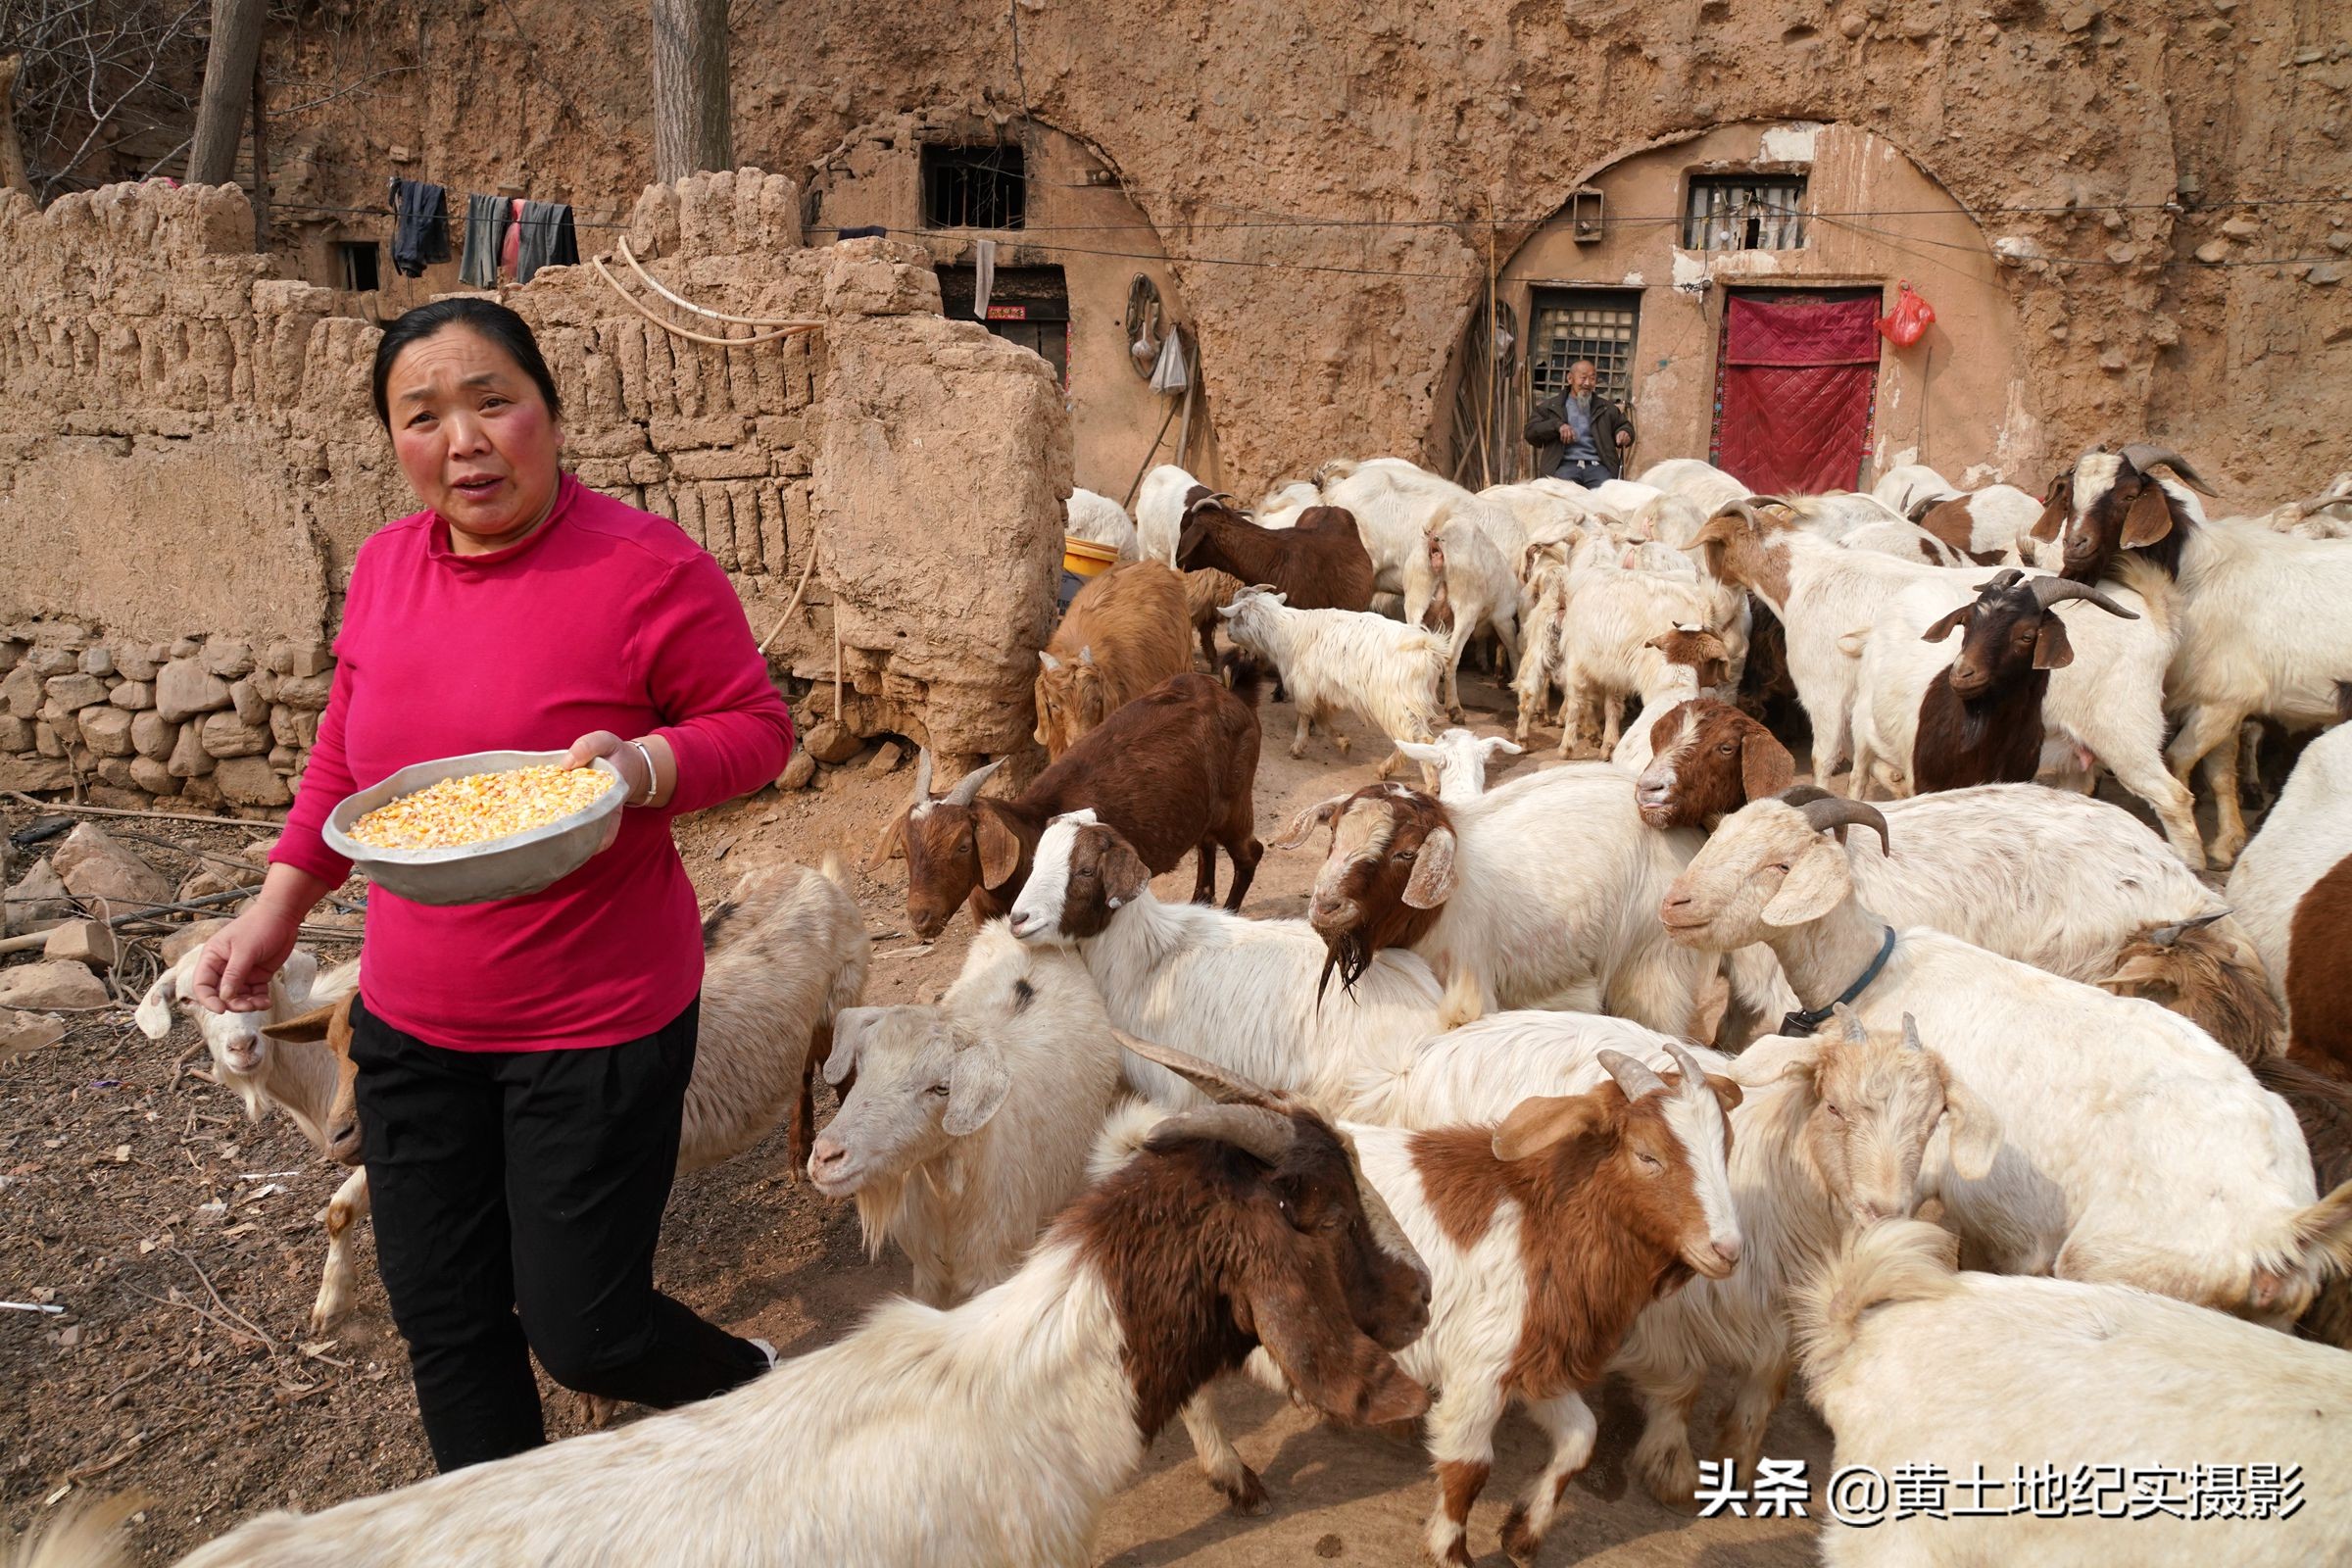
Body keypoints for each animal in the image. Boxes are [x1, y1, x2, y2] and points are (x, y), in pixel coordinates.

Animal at [870, 667, 1270, 940]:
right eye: (905, 847)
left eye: (964, 845)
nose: (920, 918)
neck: (1029, 829)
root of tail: (1230, 696)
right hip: (1207, 812)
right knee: (1207, 845)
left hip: (1236, 803)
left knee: (1251, 853)